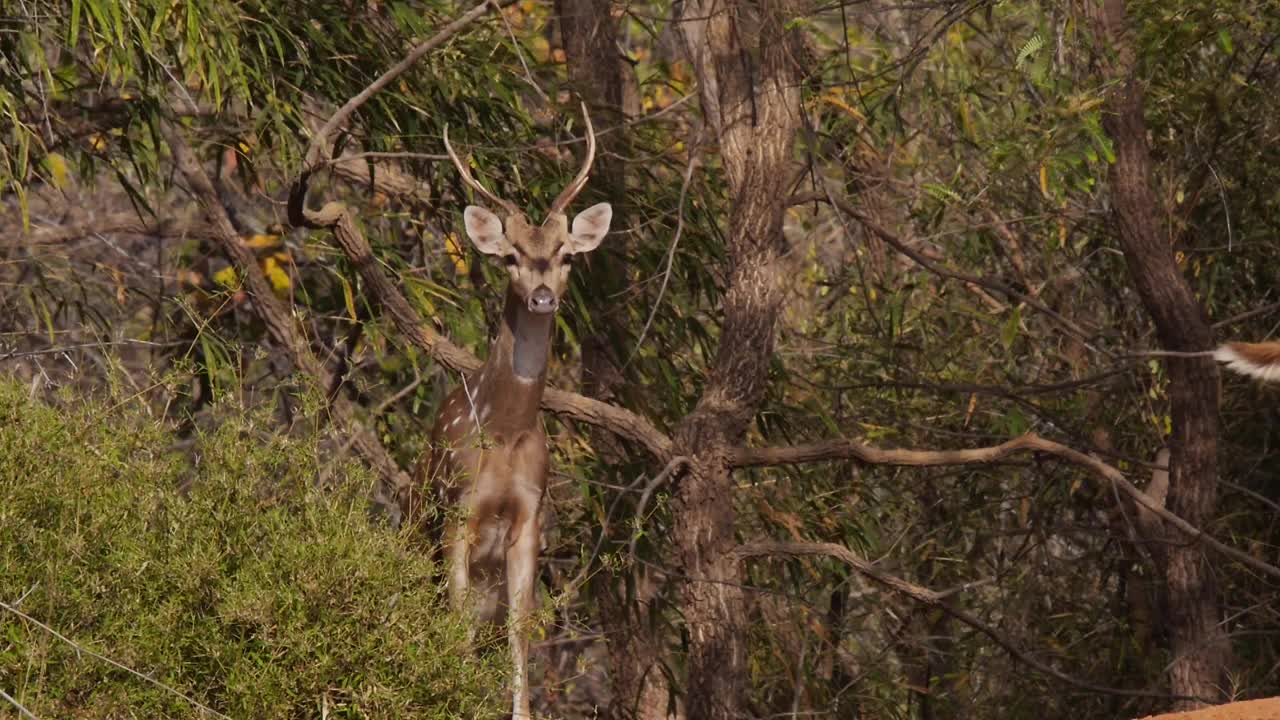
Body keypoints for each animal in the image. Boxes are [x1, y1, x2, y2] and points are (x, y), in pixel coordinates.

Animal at [401, 103, 611, 712]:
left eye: (565, 255)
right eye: (512, 256)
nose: (542, 296)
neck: (505, 431)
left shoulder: (530, 515)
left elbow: (521, 632)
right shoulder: (459, 509)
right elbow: (452, 625)